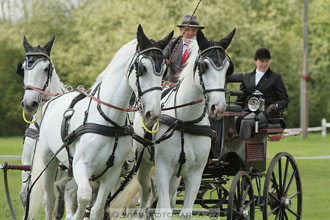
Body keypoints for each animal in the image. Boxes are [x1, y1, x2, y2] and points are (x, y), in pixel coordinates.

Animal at [17, 35, 69, 219]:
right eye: (23, 68)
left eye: (46, 68)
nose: (29, 103)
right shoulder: (28, 164)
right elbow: (25, 195)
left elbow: (55, 204)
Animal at [25, 24, 173, 220]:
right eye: (142, 68)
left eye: (163, 70)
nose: (153, 112)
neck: (108, 121)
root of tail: (53, 99)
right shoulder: (81, 166)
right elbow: (83, 197)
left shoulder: (111, 174)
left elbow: (97, 209)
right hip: (49, 161)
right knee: (50, 199)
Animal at [130, 27, 236, 218]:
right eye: (204, 66)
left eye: (227, 69)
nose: (218, 107)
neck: (186, 122)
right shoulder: (163, 169)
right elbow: (163, 210)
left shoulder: (195, 174)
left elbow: (183, 212)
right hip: (144, 165)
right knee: (146, 196)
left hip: (177, 176)